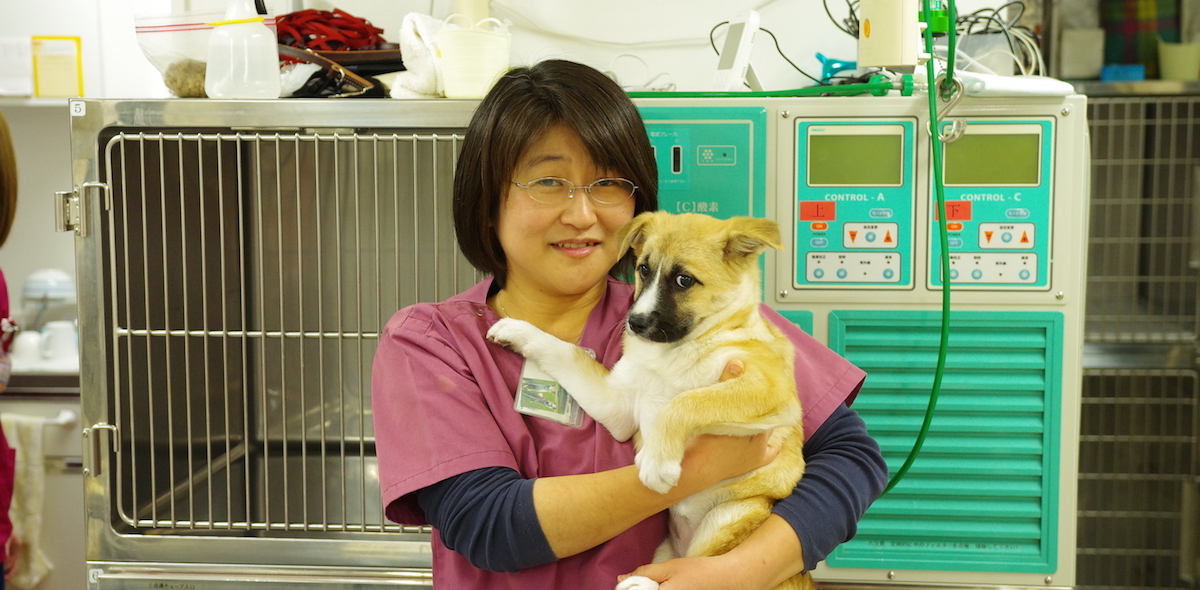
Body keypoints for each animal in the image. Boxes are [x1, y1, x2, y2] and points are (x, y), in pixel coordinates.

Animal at [487, 212, 816, 590]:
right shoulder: (617, 404)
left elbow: (685, 402)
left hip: (731, 515)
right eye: (643, 269)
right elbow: (564, 351)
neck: (675, 351)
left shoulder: (768, 389)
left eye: (684, 280)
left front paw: (659, 462)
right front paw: (517, 329)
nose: (634, 323)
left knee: (703, 568)